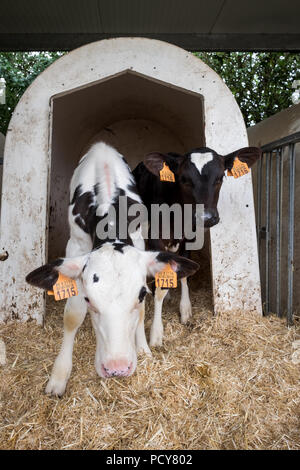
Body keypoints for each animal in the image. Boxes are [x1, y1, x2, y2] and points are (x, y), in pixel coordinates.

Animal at [26, 143, 199, 396]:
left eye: (141, 295)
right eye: (89, 300)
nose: (117, 368)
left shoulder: (139, 240)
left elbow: (142, 312)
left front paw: (143, 349)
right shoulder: (76, 244)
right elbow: (72, 315)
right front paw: (59, 376)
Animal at [133, 145, 260, 346]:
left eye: (220, 178)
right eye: (183, 179)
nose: (206, 217)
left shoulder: (190, 237)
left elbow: (185, 273)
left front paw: (185, 310)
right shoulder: (155, 237)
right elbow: (160, 287)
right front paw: (156, 334)